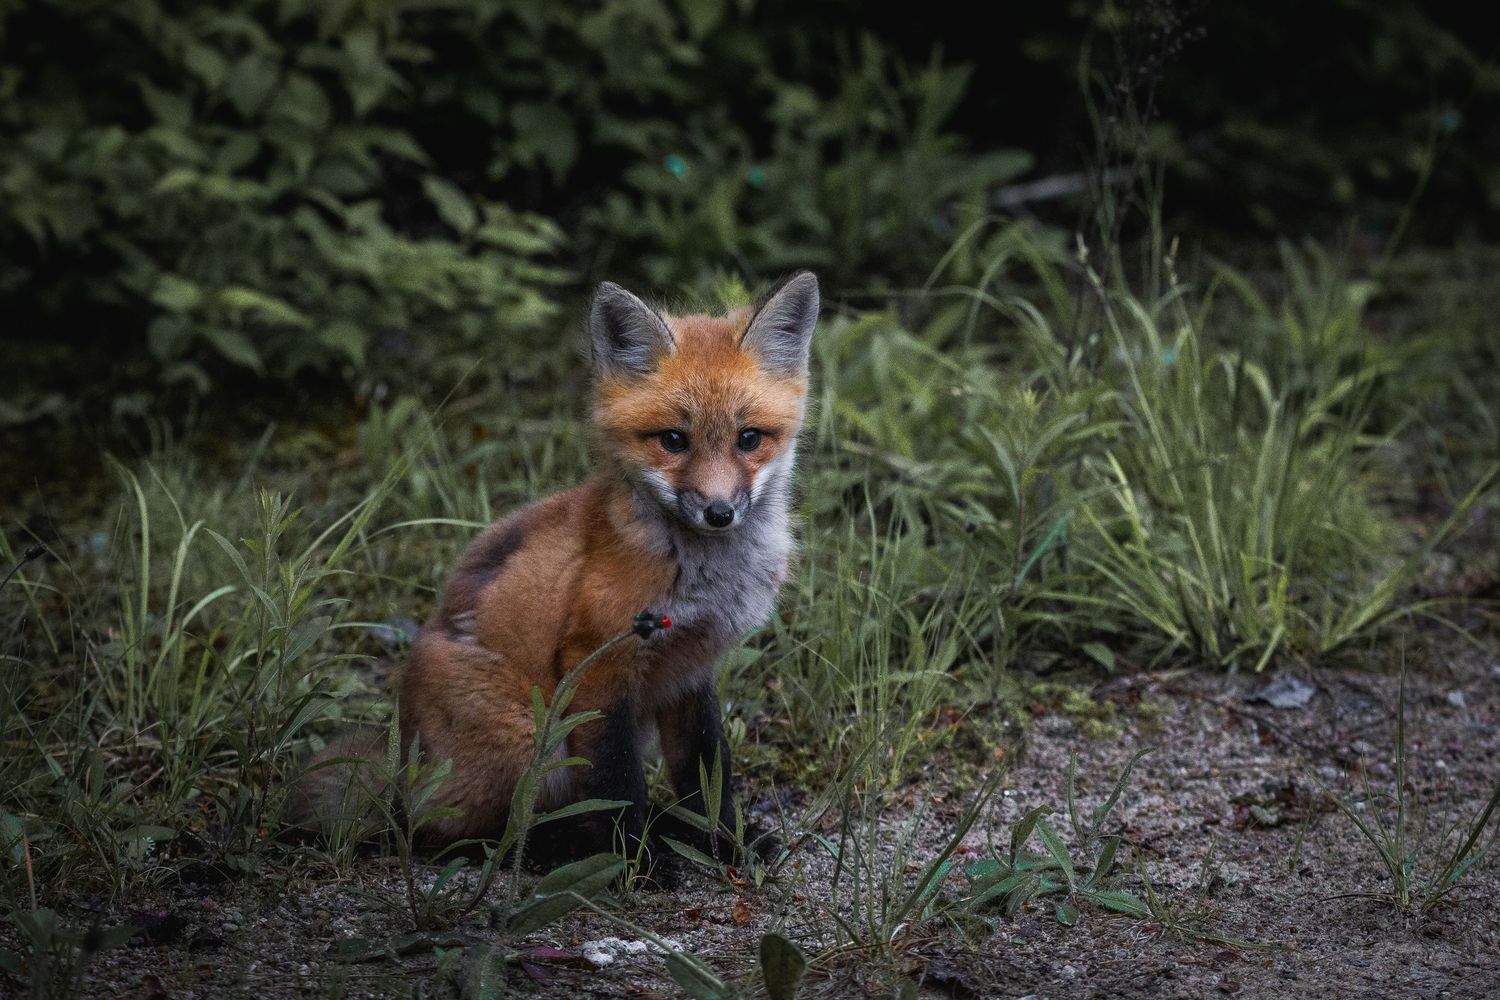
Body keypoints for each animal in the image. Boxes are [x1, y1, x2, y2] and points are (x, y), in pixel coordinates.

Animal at [298, 271, 820, 864]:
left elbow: (705, 774)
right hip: (533, 743)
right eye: (673, 440)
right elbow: (618, 783)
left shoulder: (691, 670)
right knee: (456, 835)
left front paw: (724, 839)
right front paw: (635, 865)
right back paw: (564, 846)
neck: (705, 578)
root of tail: (404, 769)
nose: (718, 512)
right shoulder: (598, 660)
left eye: (749, 438)